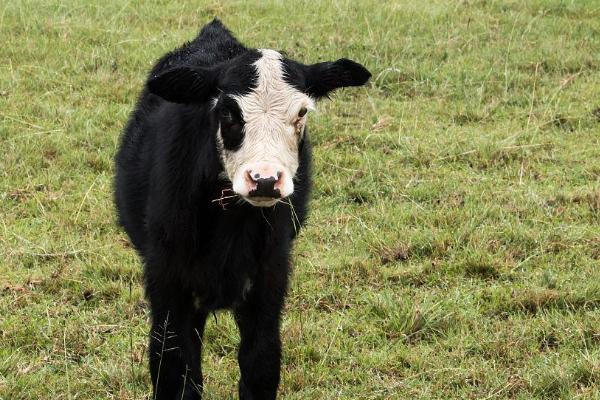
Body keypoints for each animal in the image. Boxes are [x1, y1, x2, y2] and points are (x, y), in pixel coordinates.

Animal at [113, 19, 370, 400]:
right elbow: (173, 369)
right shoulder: (167, 284)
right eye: (227, 112)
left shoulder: (269, 282)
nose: (264, 180)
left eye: (302, 112)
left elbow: (260, 365)